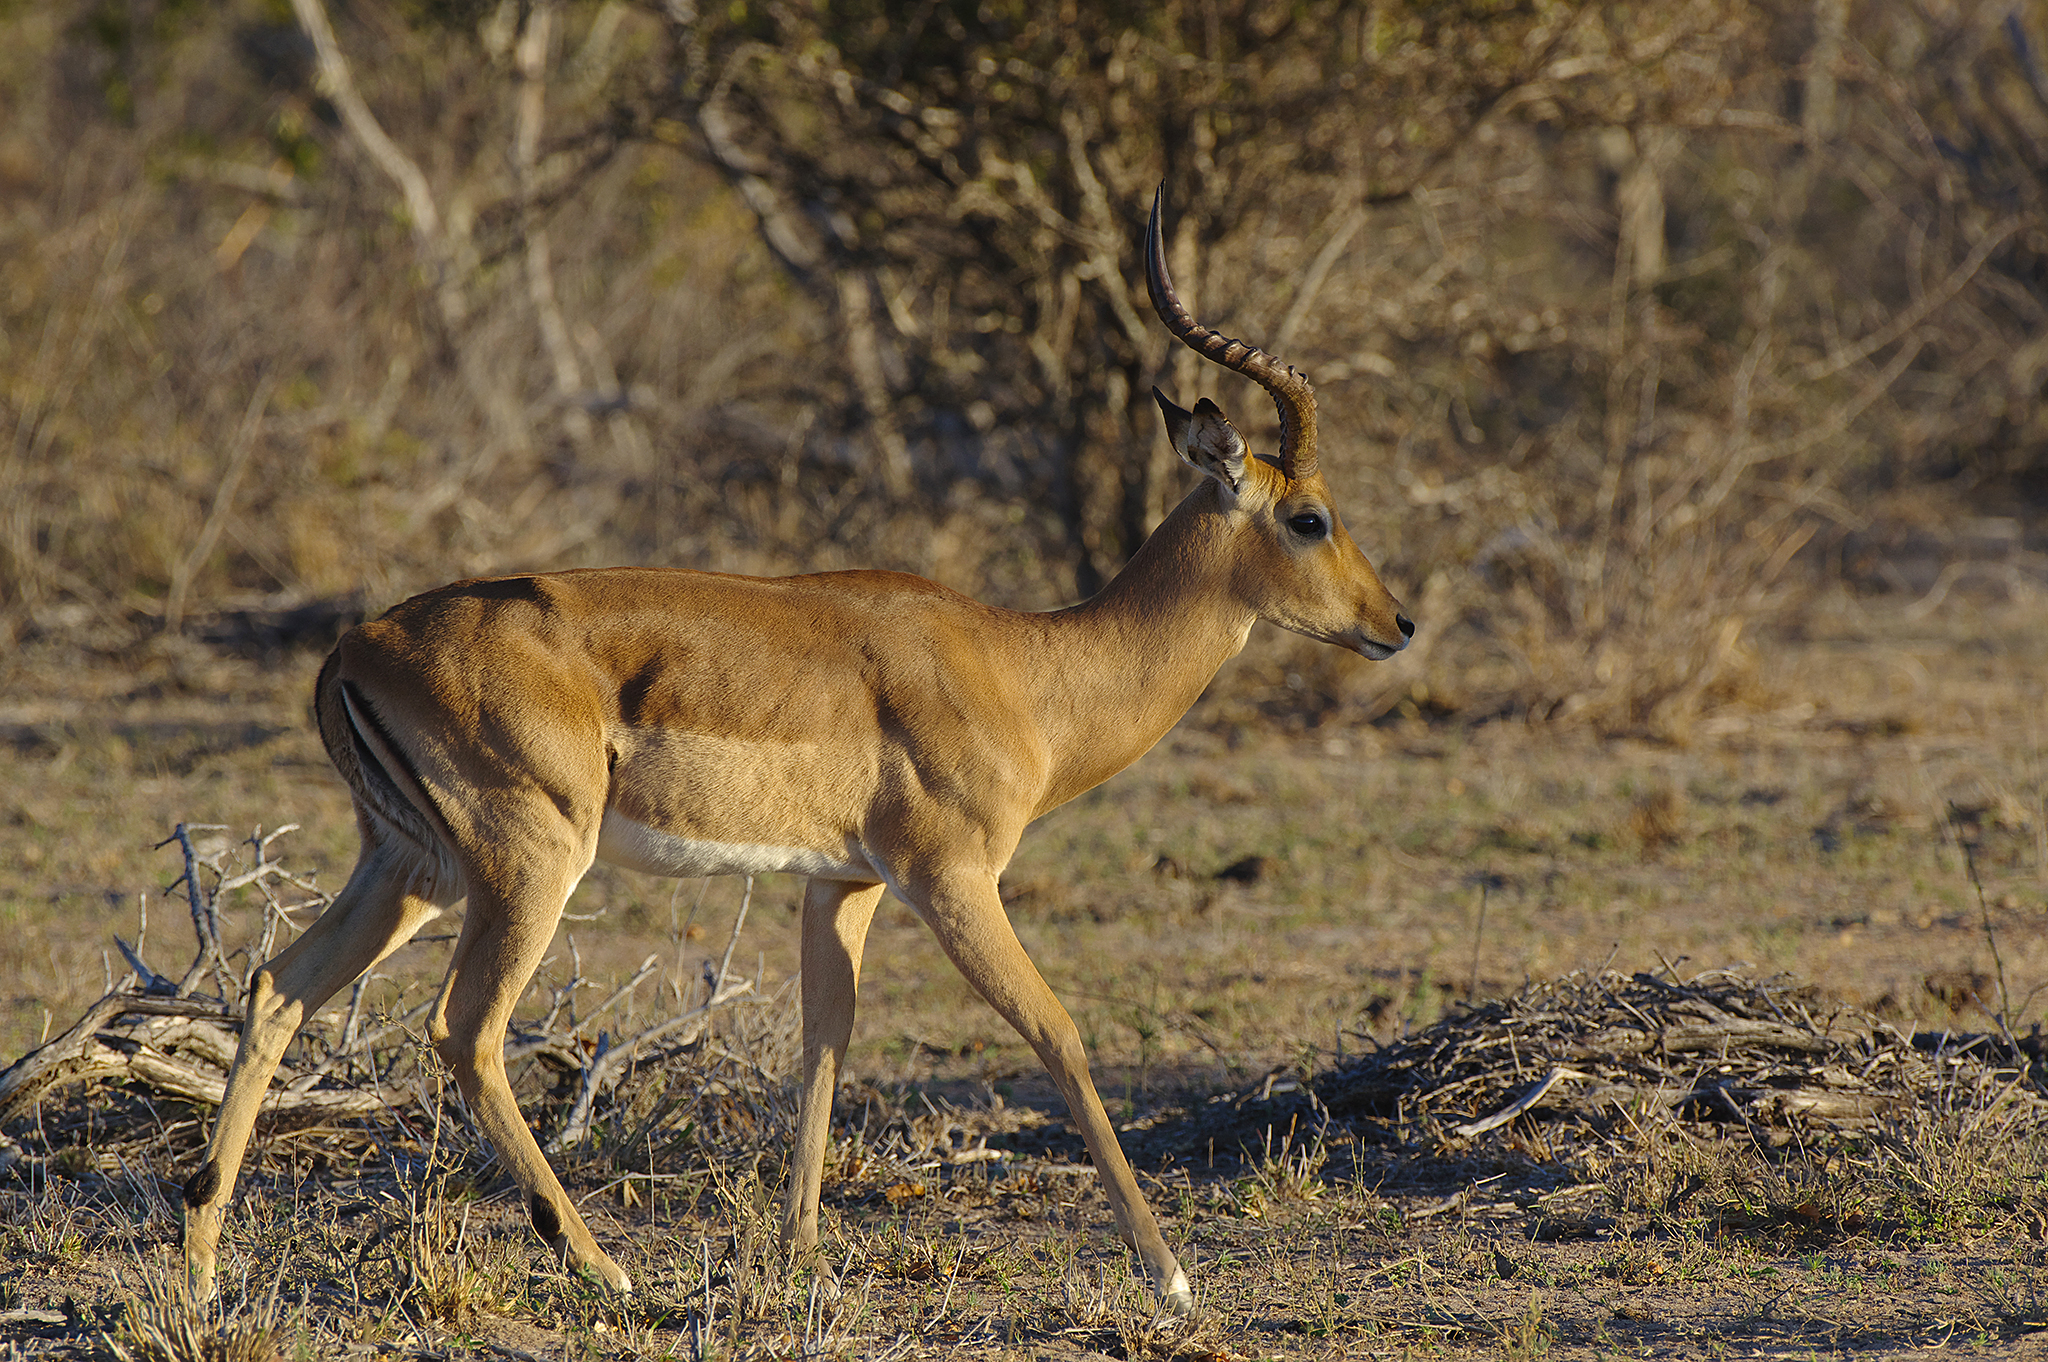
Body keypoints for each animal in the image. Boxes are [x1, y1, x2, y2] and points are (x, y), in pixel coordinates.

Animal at [181, 190, 1412, 1317]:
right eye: (1307, 517)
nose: (1394, 624)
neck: (1027, 670)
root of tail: (357, 644)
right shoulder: (949, 878)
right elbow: (1058, 1033)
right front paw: (1168, 1274)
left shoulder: (841, 885)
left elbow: (825, 1045)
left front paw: (801, 1255)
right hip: (527, 864)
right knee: (464, 1031)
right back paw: (602, 1266)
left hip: (412, 867)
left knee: (277, 988)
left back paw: (198, 1269)